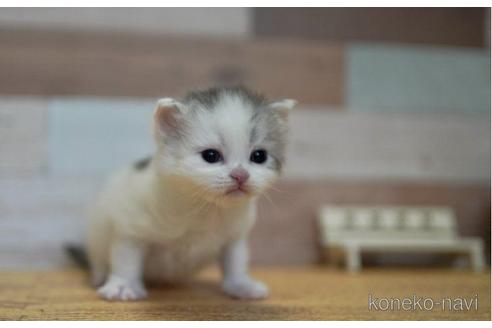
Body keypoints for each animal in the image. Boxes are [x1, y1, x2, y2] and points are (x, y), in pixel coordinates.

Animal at [87, 86, 296, 302]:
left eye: (259, 156)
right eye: (210, 155)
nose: (241, 175)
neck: (205, 208)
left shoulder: (234, 237)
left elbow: (235, 262)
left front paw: (241, 285)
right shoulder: (131, 228)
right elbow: (126, 259)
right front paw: (123, 285)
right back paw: (99, 276)